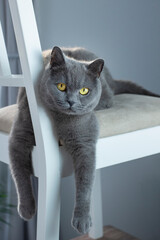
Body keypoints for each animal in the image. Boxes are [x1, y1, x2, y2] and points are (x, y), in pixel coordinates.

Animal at [8, 46, 159, 233]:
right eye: (61, 86)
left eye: (84, 91)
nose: (71, 102)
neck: (59, 118)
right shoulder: (20, 132)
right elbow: (20, 175)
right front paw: (27, 209)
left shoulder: (84, 141)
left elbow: (85, 183)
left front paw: (82, 220)